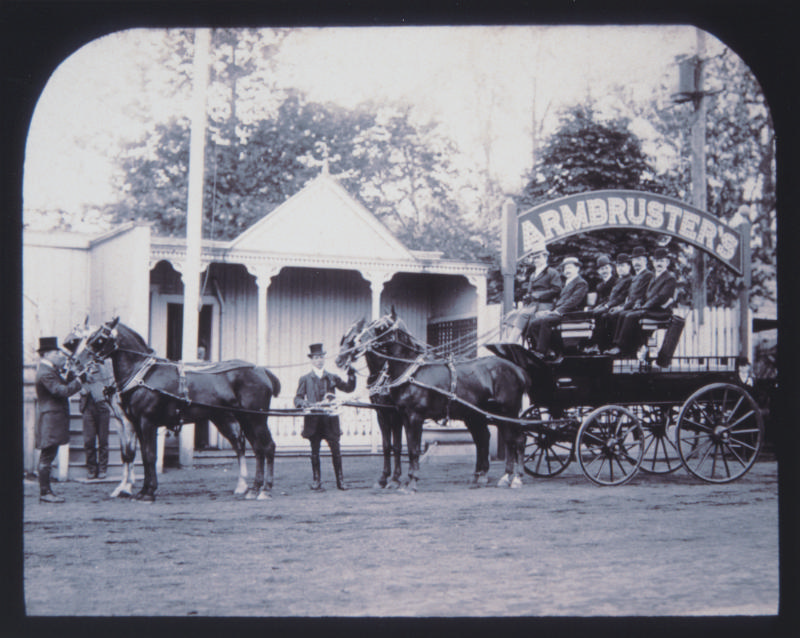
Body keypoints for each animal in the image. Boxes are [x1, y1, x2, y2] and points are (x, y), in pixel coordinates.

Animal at [69, 318, 282, 502]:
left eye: (99, 338)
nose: (76, 363)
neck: (142, 375)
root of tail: (261, 370)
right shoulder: (135, 423)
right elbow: (141, 456)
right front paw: (141, 490)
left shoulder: (147, 422)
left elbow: (149, 455)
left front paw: (148, 492)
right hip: (241, 419)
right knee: (256, 449)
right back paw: (253, 488)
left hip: (255, 419)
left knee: (267, 447)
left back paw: (265, 490)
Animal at [336, 312, 532, 492]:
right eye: (346, 337)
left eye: (381, 327)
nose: (339, 360)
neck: (409, 371)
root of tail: (517, 370)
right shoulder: (394, 414)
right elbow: (397, 446)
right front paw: (393, 480)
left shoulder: (411, 416)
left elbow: (410, 448)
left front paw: (408, 481)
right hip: (481, 415)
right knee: (492, 439)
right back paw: (491, 476)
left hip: (508, 412)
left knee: (517, 439)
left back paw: (515, 477)